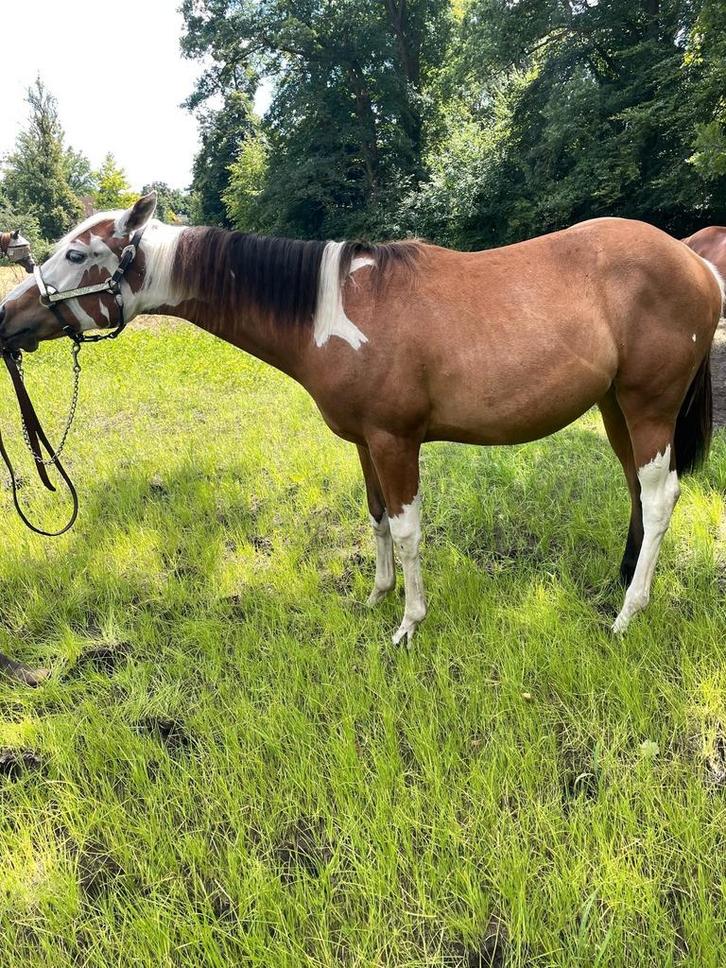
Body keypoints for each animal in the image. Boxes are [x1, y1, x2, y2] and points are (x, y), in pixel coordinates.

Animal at [0, 192, 722, 645]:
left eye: (75, 255)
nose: (7, 317)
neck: (333, 311)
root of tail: (696, 261)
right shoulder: (364, 443)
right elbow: (375, 519)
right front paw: (377, 597)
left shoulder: (395, 440)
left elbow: (405, 529)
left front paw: (409, 622)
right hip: (615, 407)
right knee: (637, 491)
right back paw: (623, 582)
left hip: (649, 405)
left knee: (660, 496)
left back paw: (628, 614)